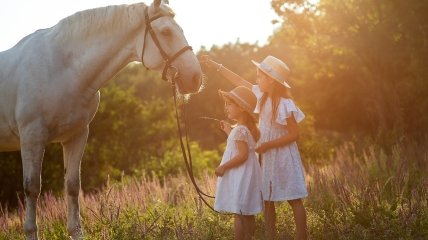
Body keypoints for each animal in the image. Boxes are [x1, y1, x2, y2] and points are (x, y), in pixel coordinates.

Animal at [0, 0, 202, 238]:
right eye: (166, 32)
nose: (196, 78)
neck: (62, 68)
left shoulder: (76, 135)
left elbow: (72, 185)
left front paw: (76, 232)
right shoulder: (32, 138)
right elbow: (32, 188)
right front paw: (31, 232)